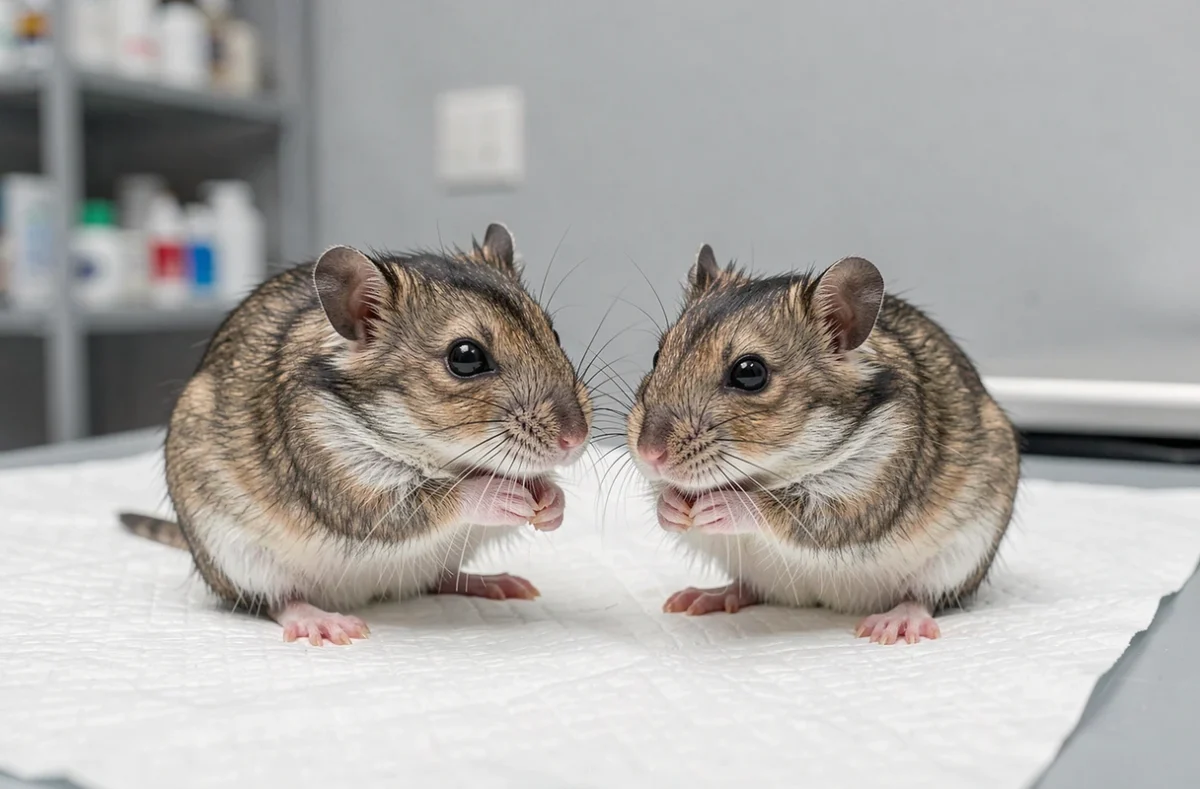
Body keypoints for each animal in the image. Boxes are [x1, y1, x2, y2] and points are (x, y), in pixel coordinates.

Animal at [120, 223, 591, 645]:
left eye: (553, 332)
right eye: (465, 357)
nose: (576, 440)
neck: (437, 451)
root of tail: (370, 594)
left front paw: (553, 501)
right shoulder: (338, 475)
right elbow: (424, 500)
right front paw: (499, 493)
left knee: (436, 580)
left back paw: (489, 582)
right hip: (238, 557)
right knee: (274, 600)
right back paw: (319, 620)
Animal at [626, 244, 1019, 644]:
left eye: (750, 373)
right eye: (657, 356)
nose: (649, 454)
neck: (780, 466)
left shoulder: (866, 492)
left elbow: (788, 510)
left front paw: (722, 505)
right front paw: (670, 506)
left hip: (960, 558)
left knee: (924, 595)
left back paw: (895, 622)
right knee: (750, 588)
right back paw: (708, 596)